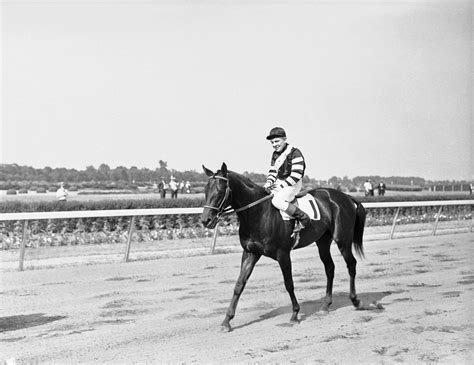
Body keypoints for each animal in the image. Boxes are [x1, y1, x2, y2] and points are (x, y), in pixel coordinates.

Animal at [202, 162, 368, 330]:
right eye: (205, 191)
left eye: (220, 191)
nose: (205, 220)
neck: (259, 214)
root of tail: (346, 196)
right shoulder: (250, 253)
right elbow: (239, 285)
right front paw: (227, 320)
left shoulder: (283, 254)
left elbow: (289, 283)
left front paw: (295, 314)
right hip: (322, 242)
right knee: (330, 268)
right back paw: (326, 305)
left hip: (343, 240)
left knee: (351, 264)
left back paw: (356, 300)